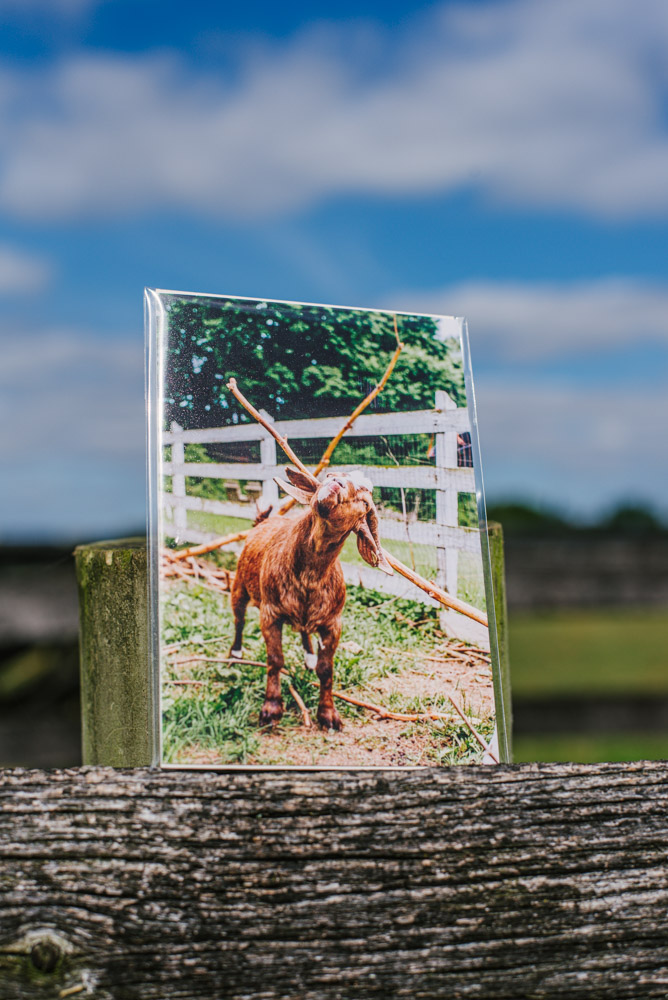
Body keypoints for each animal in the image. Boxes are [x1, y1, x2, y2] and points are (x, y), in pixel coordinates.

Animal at [229, 467, 393, 731]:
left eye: (365, 501)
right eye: (330, 475)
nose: (336, 485)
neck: (309, 576)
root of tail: (263, 521)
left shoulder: (333, 624)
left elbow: (326, 670)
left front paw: (329, 715)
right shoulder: (270, 613)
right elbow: (275, 659)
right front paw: (271, 709)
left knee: (304, 631)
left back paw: (309, 657)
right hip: (239, 587)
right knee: (239, 620)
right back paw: (235, 655)